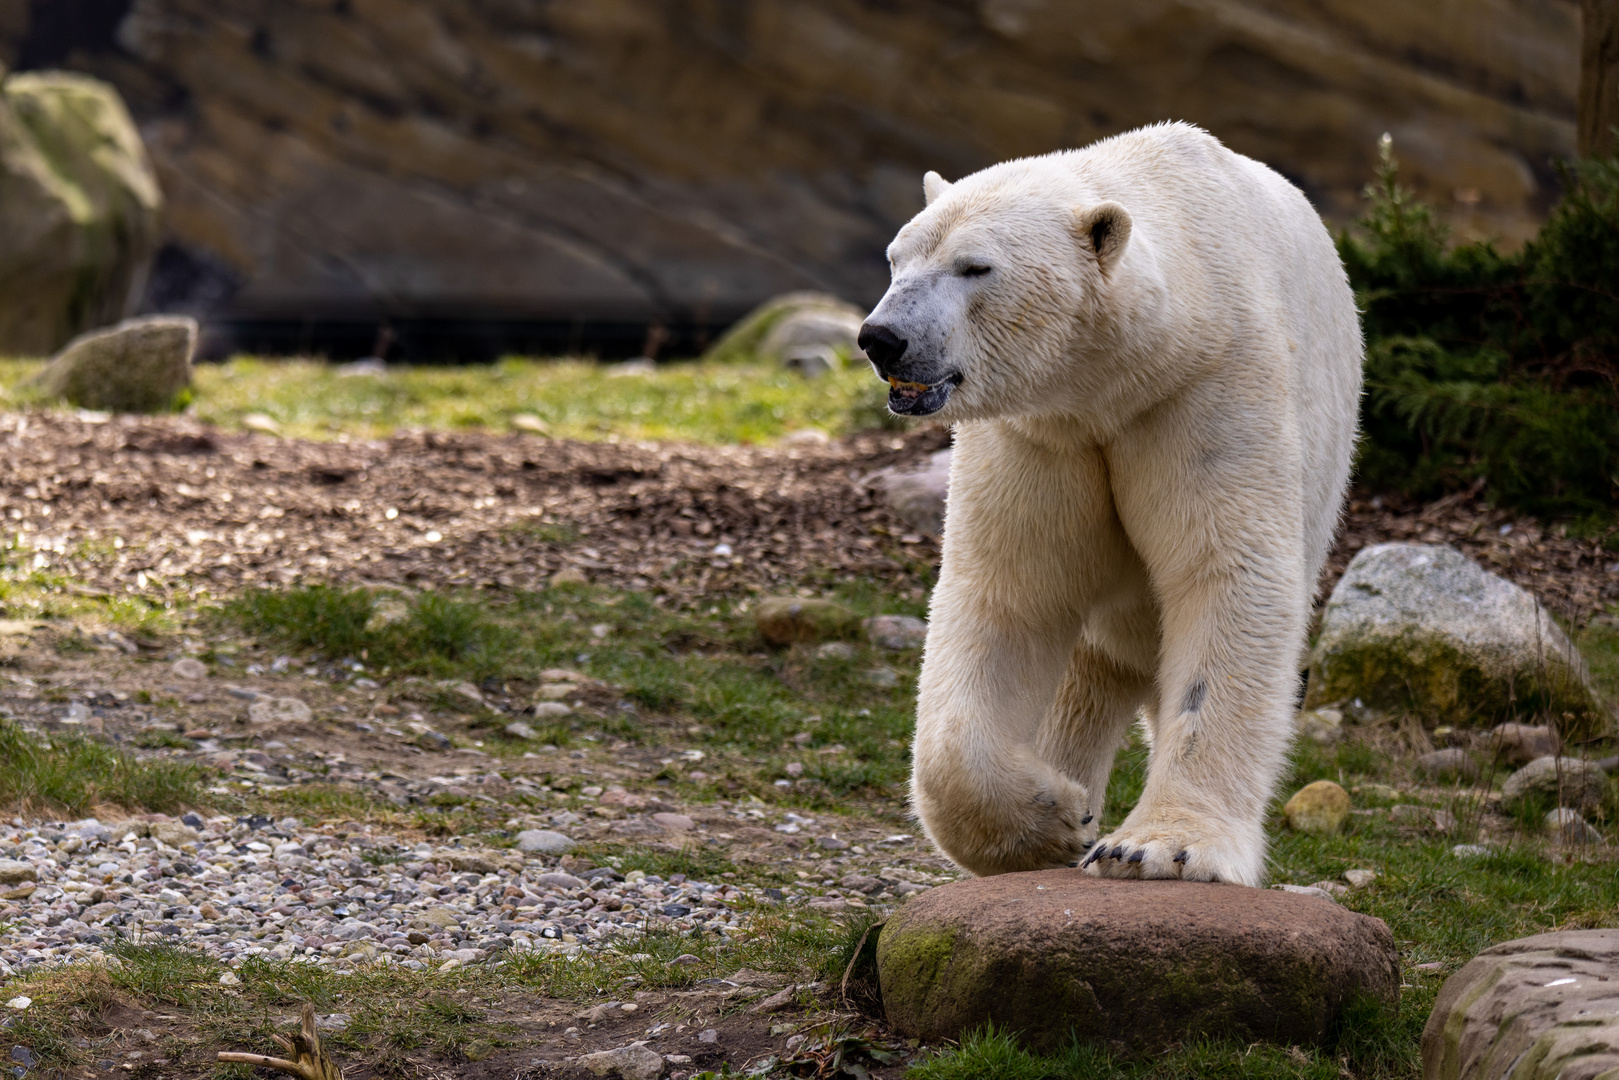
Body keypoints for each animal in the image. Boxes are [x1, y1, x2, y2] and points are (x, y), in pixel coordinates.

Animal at [861, 124, 1366, 887]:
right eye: (895, 258)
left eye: (975, 267)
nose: (882, 338)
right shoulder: (1042, 435)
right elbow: (1011, 590)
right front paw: (1051, 819)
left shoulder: (1206, 389)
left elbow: (1226, 577)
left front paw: (1158, 847)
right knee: (1088, 663)